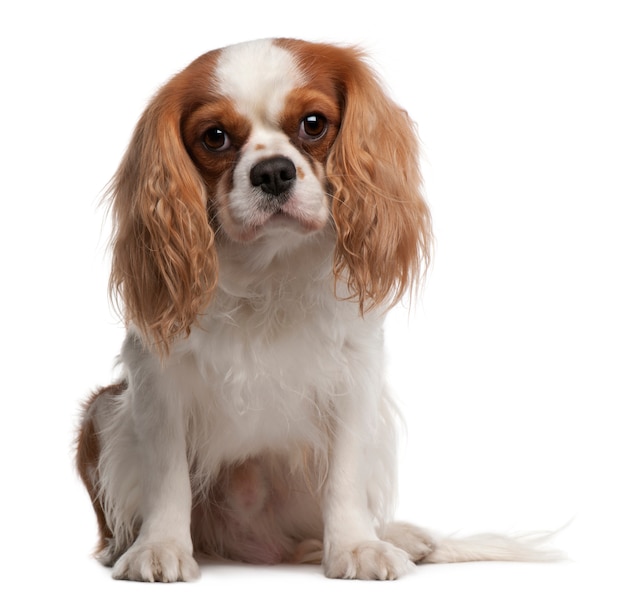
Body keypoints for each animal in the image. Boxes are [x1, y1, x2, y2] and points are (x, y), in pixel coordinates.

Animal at [74, 37, 556, 580]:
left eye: (313, 124)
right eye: (215, 137)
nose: (273, 171)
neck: (269, 267)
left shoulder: (355, 373)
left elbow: (346, 475)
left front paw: (356, 547)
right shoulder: (156, 378)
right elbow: (167, 473)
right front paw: (160, 547)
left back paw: (400, 537)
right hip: (102, 410)